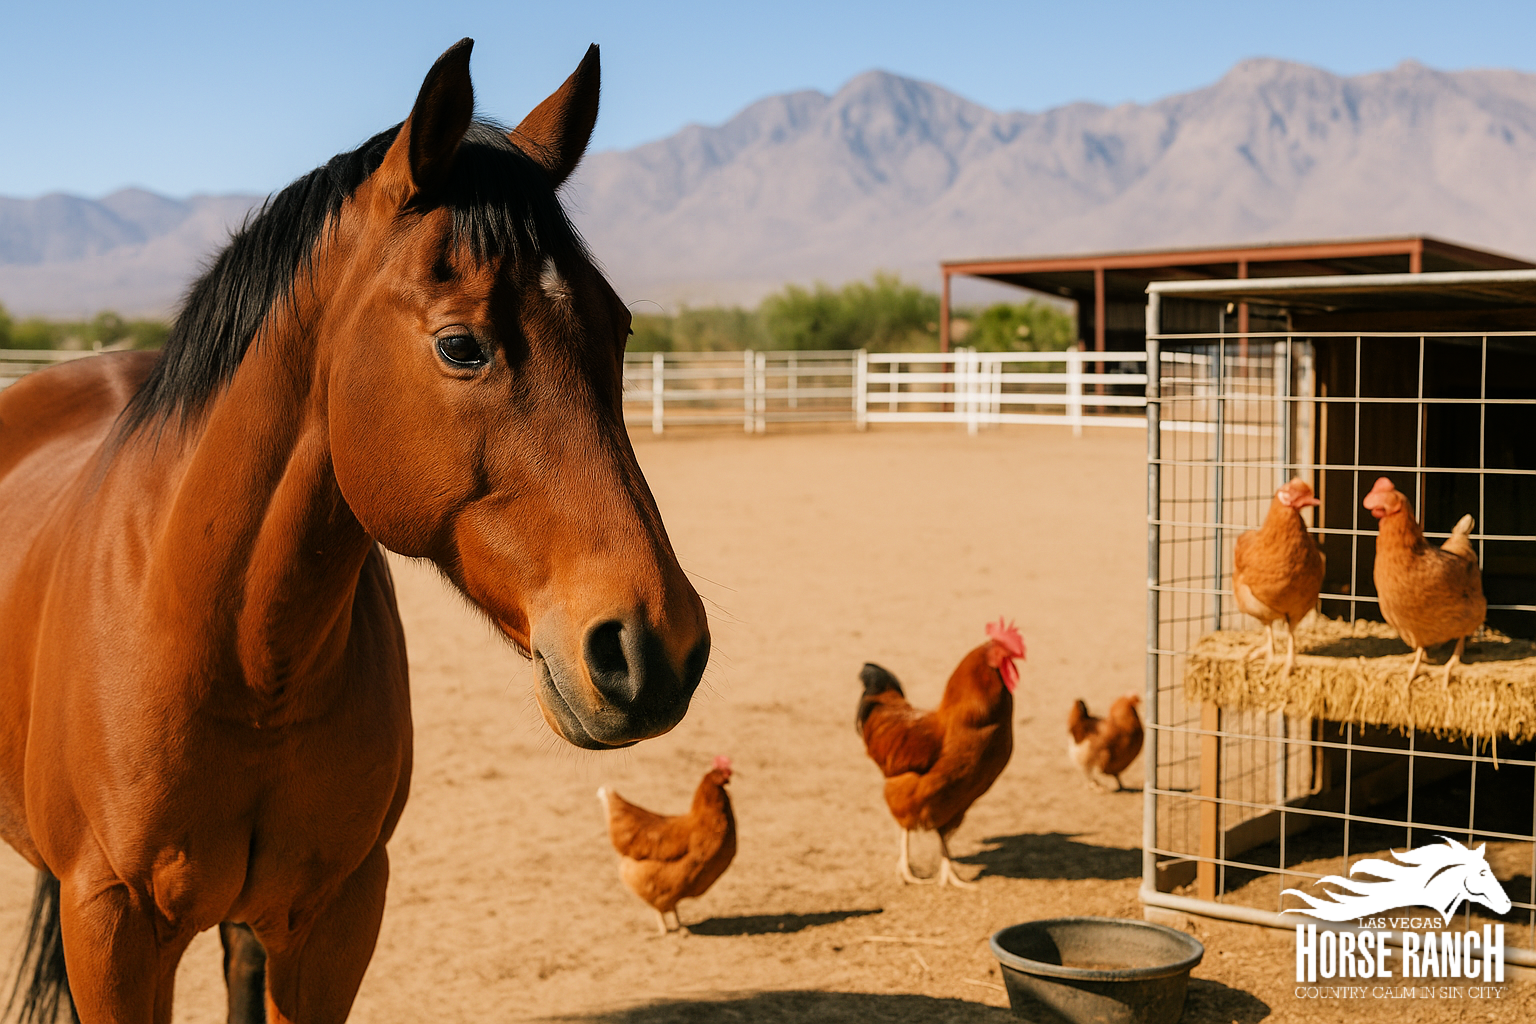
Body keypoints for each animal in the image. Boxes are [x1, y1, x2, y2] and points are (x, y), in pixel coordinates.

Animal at [0, 39, 709, 1023]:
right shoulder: (111, 928)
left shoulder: (336, 920)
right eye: (461, 345)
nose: (655, 646)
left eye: (622, 324)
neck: (241, 658)